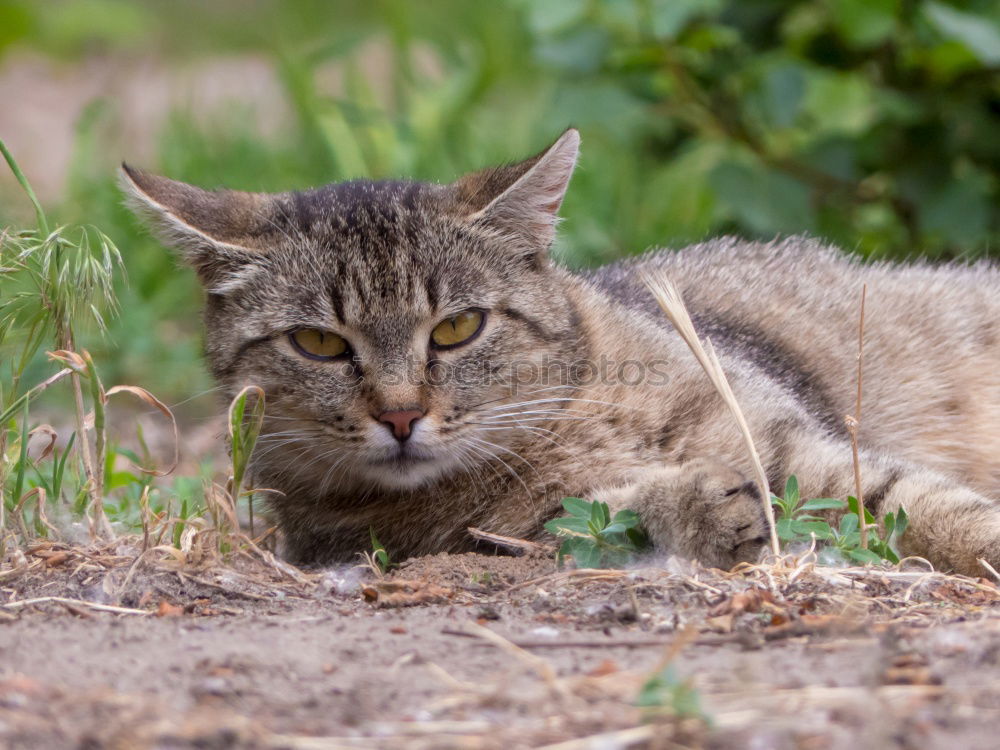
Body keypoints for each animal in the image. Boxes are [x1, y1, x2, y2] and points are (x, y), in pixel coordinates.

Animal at [123, 128, 1000, 576]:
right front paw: (694, 506)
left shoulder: (804, 445)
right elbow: (604, 513)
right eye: (318, 343)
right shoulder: (470, 536)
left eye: (456, 328)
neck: (572, 413)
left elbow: (926, 505)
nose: (401, 416)